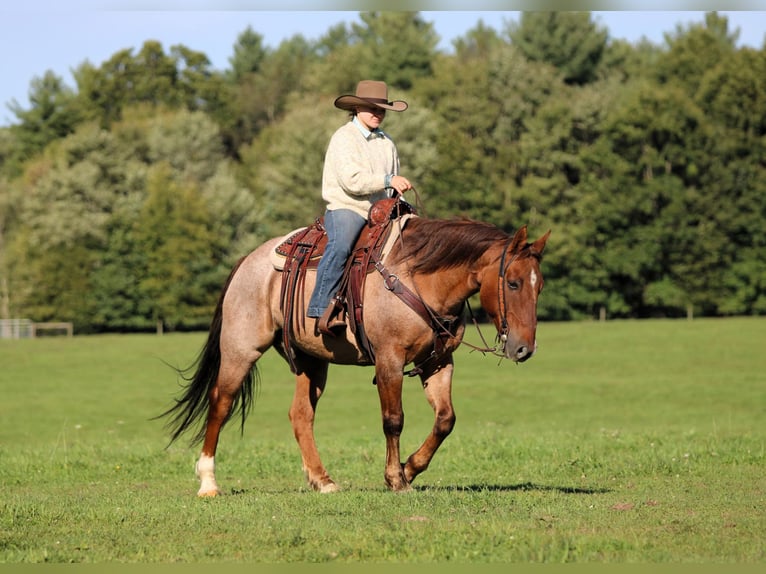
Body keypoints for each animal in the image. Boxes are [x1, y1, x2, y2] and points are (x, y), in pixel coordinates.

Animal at [160, 210, 550, 496]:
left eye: (539, 285)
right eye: (513, 282)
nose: (524, 348)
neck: (418, 277)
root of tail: (247, 262)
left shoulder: (437, 362)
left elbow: (445, 420)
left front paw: (410, 468)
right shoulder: (390, 360)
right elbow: (393, 419)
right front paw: (395, 478)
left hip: (311, 361)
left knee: (300, 415)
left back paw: (322, 480)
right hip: (240, 351)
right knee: (220, 405)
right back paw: (208, 482)